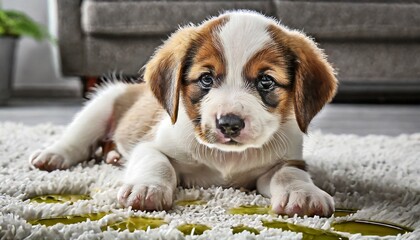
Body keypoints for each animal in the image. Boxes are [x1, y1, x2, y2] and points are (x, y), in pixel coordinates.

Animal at [28, 11, 338, 217]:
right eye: (206, 79)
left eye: (266, 82)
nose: (229, 124)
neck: (226, 159)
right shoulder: (149, 145)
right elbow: (158, 163)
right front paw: (147, 189)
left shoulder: (289, 160)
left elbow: (289, 174)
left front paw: (304, 194)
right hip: (103, 103)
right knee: (77, 140)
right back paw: (53, 155)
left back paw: (113, 155)